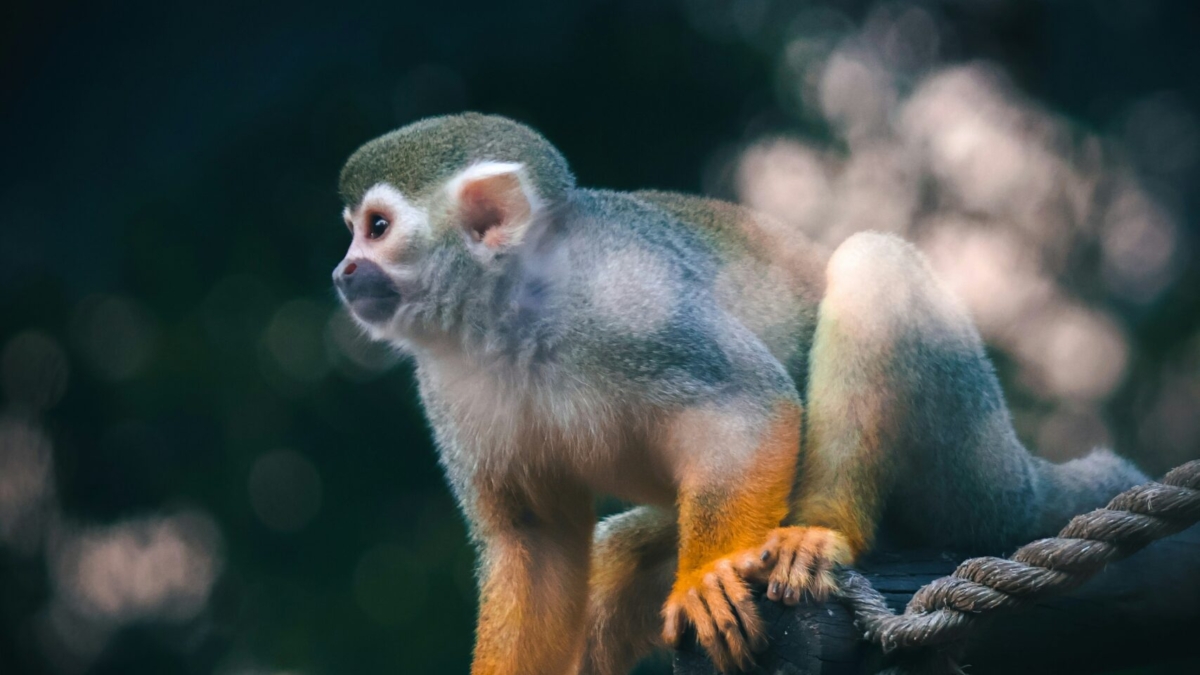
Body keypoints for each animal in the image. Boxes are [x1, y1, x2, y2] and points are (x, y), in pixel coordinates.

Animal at [331, 113, 1146, 675]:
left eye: (376, 228)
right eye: (354, 233)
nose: (343, 273)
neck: (511, 315)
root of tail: (1023, 471)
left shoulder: (634, 298)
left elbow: (746, 407)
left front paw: (705, 580)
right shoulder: (447, 383)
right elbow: (533, 541)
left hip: (973, 461)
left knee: (873, 264)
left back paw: (819, 531)